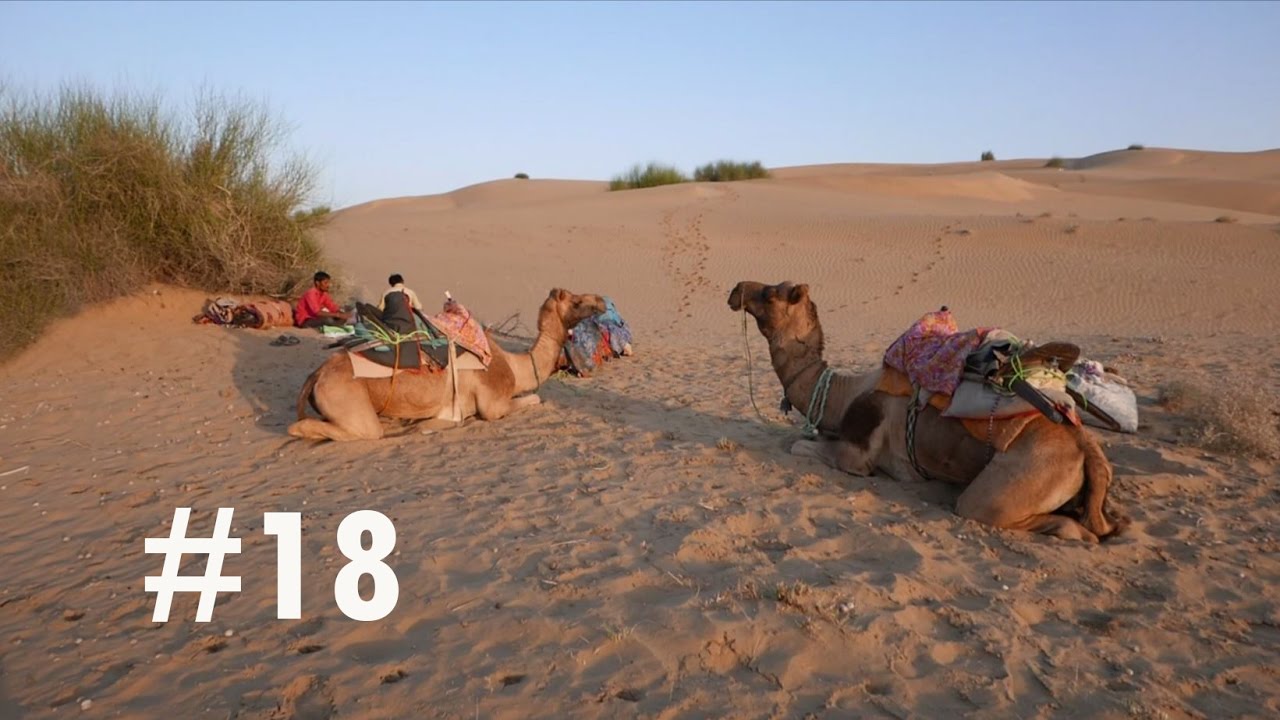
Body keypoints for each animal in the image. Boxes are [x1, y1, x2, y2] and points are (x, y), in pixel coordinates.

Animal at [289, 288, 606, 442]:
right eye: (576, 301)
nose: (602, 301)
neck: (516, 366)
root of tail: (317, 374)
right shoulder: (493, 403)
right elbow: (535, 398)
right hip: (346, 400)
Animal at [728, 280, 1129, 543]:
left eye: (770, 293)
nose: (737, 288)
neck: (841, 394)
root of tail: (1087, 448)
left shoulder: (857, 452)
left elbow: (797, 445)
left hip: (1017, 480)